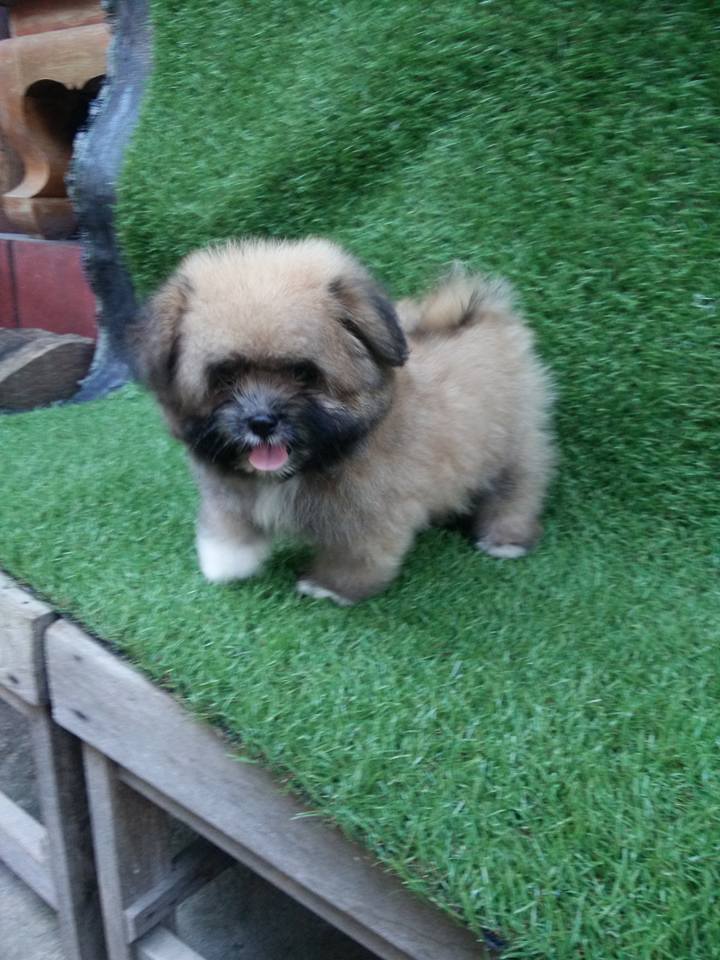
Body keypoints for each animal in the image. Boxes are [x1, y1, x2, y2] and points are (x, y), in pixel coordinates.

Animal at [131, 237, 554, 604]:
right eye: (225, 376)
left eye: (303, 373)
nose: (262, 421)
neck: (308, 464)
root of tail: (479, 314)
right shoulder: (231, 491)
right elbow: (230, 524)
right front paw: (225, 561)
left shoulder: (369, 513)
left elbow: (357, 552)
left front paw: (331, 587)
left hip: (514, 443)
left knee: (518, 487)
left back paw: (505, 537)